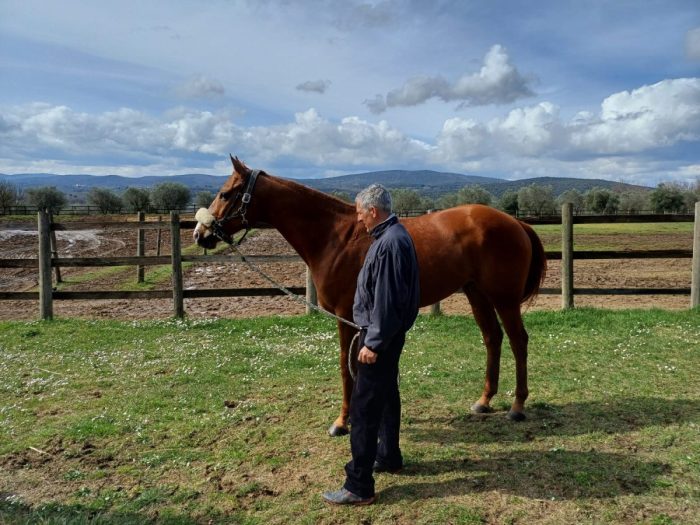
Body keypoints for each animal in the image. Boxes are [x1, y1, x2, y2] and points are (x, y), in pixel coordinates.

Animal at [194, 155, 547, 436]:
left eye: (226, 193)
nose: (200, 234)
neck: (336, 236)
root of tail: (515, 222)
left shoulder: (345, 316)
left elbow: (345, 367)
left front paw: (342, 422)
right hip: (477, 294)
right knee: (492, 338)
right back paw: (484, 401)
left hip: (503, 298)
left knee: (518, 340)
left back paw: (517, 406)